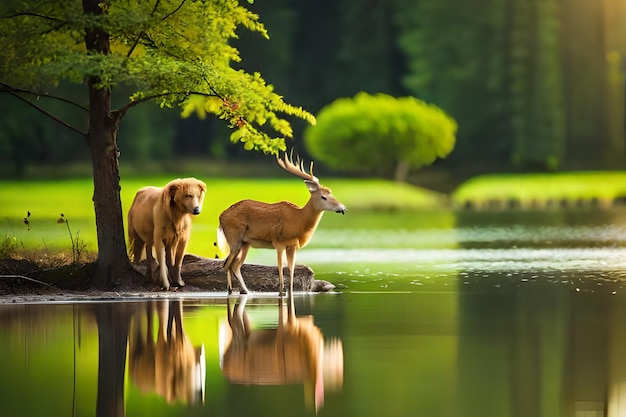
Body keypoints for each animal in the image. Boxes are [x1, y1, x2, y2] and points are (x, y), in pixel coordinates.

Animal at [217, 151, 346, 294]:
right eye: (324, 197)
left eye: (331, 194)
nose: (343, 208)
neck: (298, 220)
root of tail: (221, 216)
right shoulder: (278, 242)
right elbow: (280, 267)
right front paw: (281, 291)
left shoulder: (292, 245)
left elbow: (291, 269)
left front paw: (289, 291)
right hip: (234, 237)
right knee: (226, 264)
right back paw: (230, 290)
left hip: (245, 243)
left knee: (234, 265)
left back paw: (245, 290)